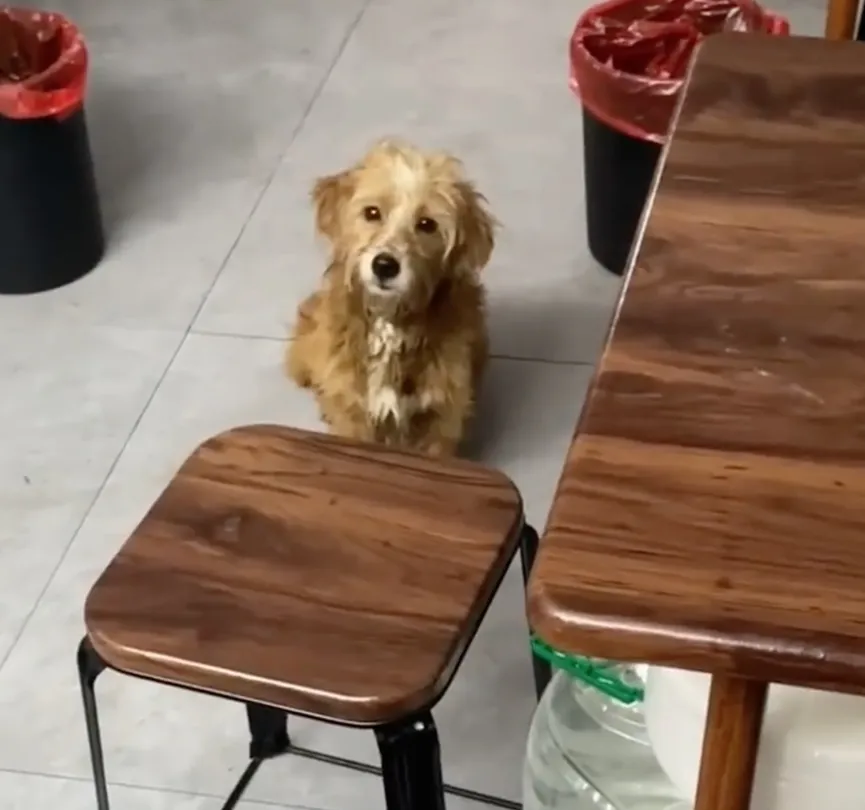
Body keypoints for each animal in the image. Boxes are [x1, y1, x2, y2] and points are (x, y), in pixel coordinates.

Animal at [288, 138, 496, 454]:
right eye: (372, 213)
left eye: (427, 224)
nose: (384, 265)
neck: (389, 321)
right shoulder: (353, 412)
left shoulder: (441, 414)